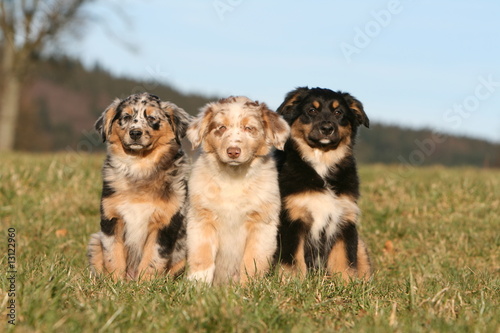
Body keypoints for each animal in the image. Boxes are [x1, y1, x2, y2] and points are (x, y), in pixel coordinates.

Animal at [87, 92, 190, 278]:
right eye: (126, 117)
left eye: (152, 118)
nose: (135, 132)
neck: (139, 165)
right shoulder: (112, 218)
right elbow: (113, 255)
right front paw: (114, 282)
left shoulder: (165, 222)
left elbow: (153, 258)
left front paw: (145, 283)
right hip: (94, 242)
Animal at [274, 86, 372, 280]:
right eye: (312, 110)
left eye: (338, 112)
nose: (327, 128)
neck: (322, 161)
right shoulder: (292, 218)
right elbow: (293, 261)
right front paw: (291, 282)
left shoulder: (345, 220)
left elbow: (345, 261)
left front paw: (347, 284)